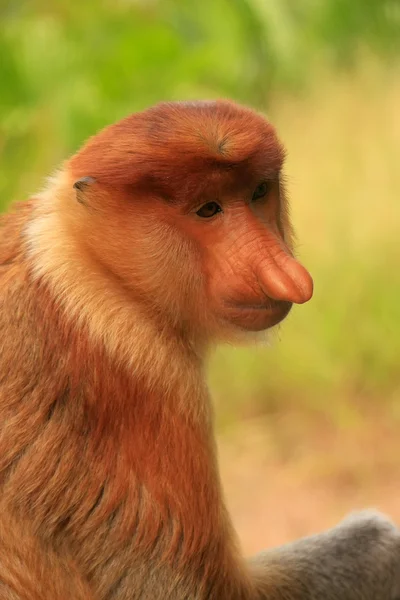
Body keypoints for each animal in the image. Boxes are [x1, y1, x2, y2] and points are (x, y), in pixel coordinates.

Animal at [0, 99, 400, 600]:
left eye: (258, 192)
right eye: (208, 209)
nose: (289, 276)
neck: (93, 262)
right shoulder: (144, 371)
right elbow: (185, 588)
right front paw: (384, 544)